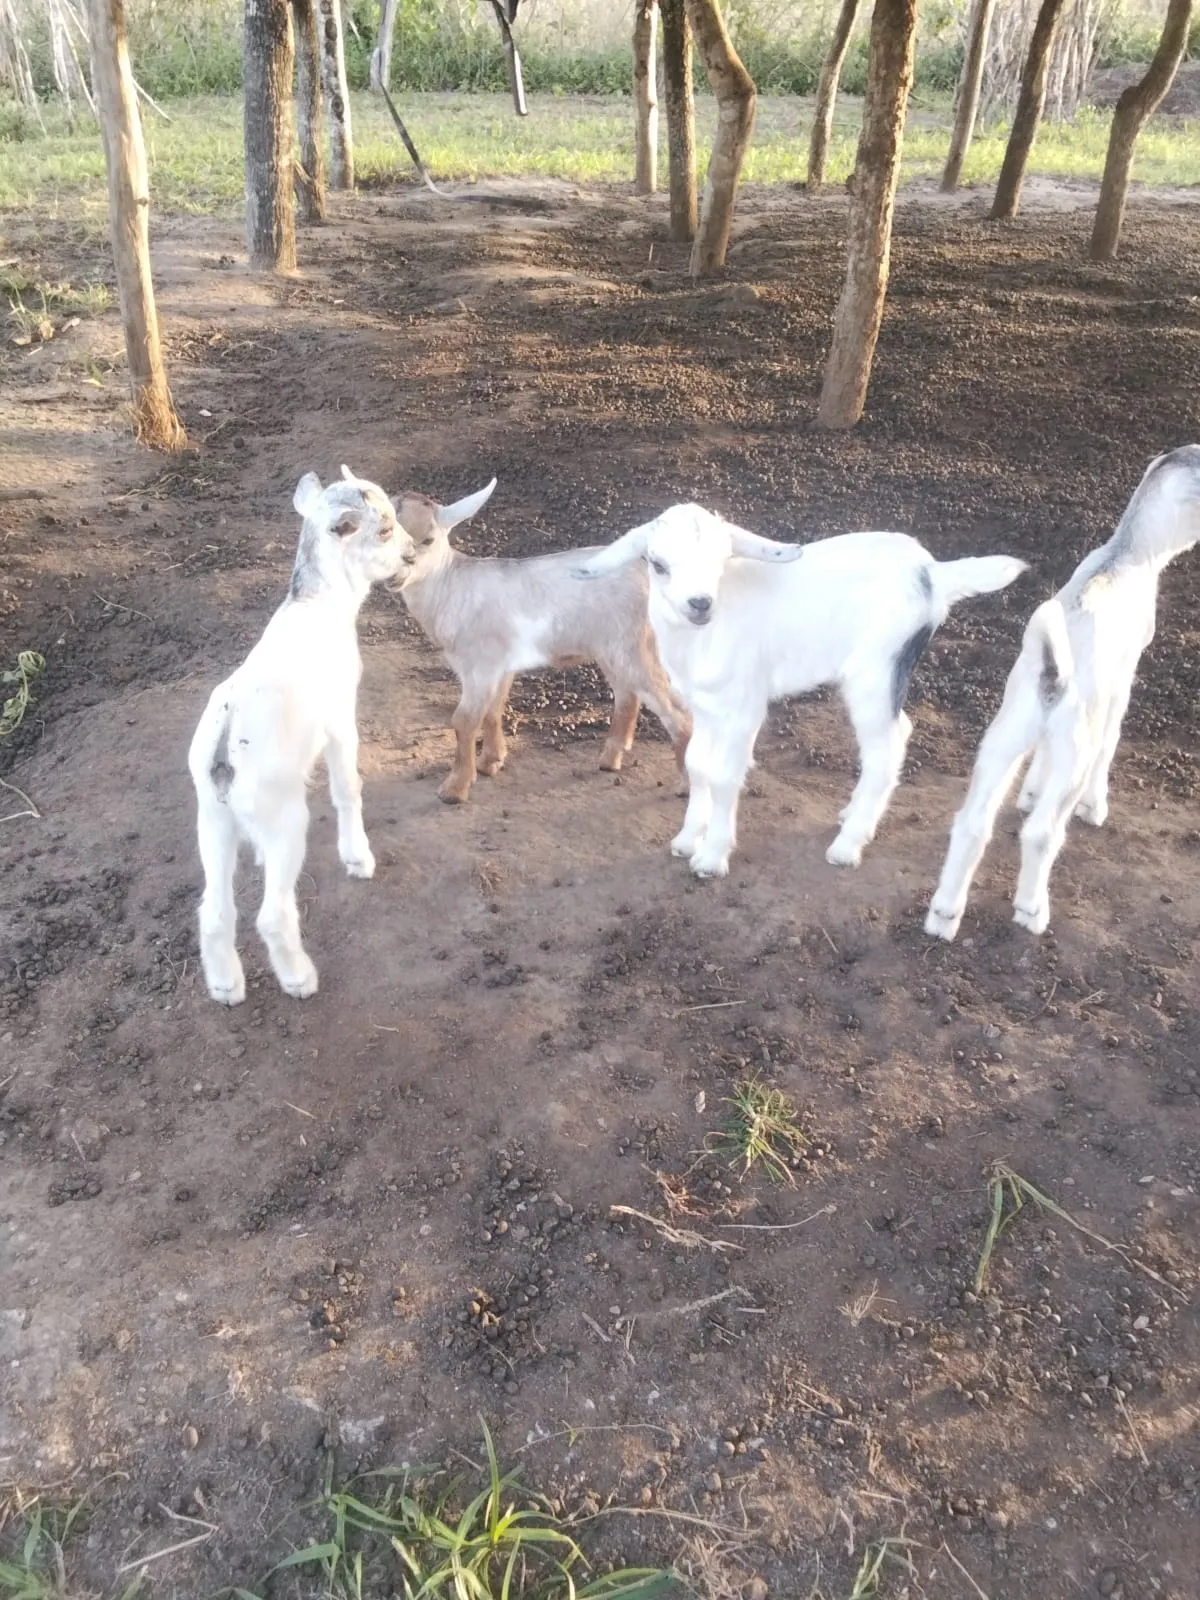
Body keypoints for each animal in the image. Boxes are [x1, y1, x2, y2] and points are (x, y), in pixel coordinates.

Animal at [188, 468, 416, 1004]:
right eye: (383, 529)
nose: (413, 554)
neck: (319, 605)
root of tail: (224, 756)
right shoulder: (340, 718)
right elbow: (347, 788)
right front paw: (358, 858)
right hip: (284, 820)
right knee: (271, 915)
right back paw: (299, 980)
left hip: (212, 821)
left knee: (214, 912)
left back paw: (226, 986)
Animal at [393, 480, 691, 803]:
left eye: (428, 539)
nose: (396, 574)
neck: (450, 585)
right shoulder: (500, 665)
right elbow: (493, 710)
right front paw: (490, 762)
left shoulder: (480, 664)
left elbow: (464, 720)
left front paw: (455, 788)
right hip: (612, 647)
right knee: (628, 694)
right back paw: (611, 758)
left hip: (634, 645)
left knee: (676, 710)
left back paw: (686, 785)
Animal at [576, 504, 1026, 878]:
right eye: (658, 564)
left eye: (720, 560)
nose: (700, 603)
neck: (704, 636)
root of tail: (933, 574)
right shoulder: (704, 706)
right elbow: (698, 764)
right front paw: (687, 840)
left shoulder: (744, 708)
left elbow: (723, 775)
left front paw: (711, 858)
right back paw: (849, 815)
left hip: (877, 669)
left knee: (888, 746)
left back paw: (848, 846)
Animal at [925, 444, 1200, 941]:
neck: (1128, 551)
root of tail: (1053, 673)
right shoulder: (1120, 683)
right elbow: (1111, 741)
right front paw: (1096, 806)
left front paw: (1031, 792)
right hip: (1074, 747)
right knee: (1041, 833)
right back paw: (1032, 910)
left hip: (1004, 738)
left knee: (973, 824)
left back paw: (943, 916)